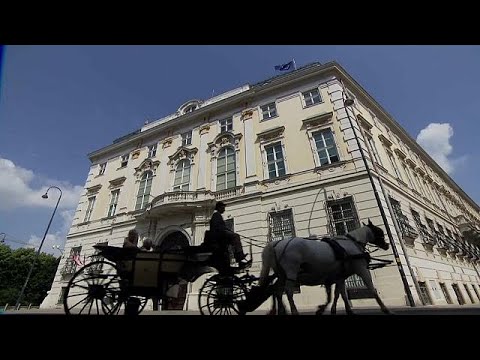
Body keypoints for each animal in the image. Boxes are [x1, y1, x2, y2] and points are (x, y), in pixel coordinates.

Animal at [260, 219, 392, 316]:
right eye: (379, 231)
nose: (387, 245)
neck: (352, 243)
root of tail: (276, 244)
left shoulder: (339, 277)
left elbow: (339, 294)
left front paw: (342, 310)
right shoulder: (362, 271)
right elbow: (371, 289)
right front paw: (385, 308)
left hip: (282, 275)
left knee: (276, 290)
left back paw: (281, 310)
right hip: (291, 273)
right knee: (288, 291)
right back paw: (293, 310)